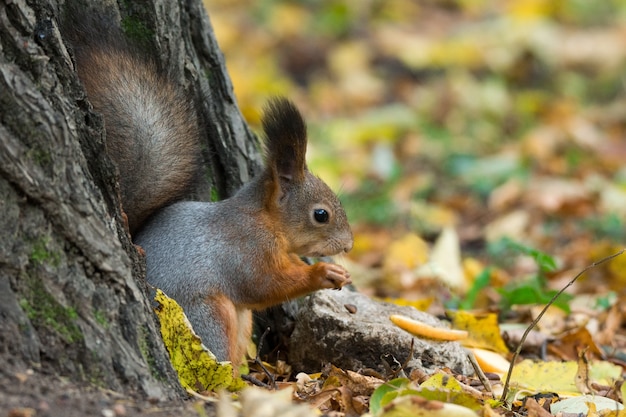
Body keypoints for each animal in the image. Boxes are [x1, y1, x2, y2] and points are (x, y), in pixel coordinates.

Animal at [62, 6, 352, 364]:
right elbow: (264, 285)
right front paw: (322, 274)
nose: (348, 245)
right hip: (207, 315)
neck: (264, 220)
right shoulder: (245, 250)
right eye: (321, 215)